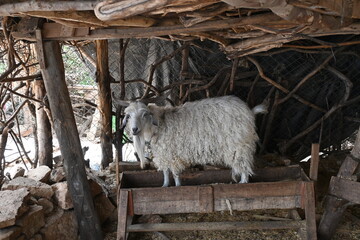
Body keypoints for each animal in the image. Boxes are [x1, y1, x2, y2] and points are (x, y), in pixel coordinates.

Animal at [116, 94, 266, 187]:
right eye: (128, 115)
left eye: (144, 114)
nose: (134, 129)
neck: (159, 124)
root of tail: (250, 112)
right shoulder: (163, 154)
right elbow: (165, 171)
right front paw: (165, 185)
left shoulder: (172, 153)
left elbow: (175, 173)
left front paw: (177, 186)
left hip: (239, 145)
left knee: (244, 166)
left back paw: (243, 182)